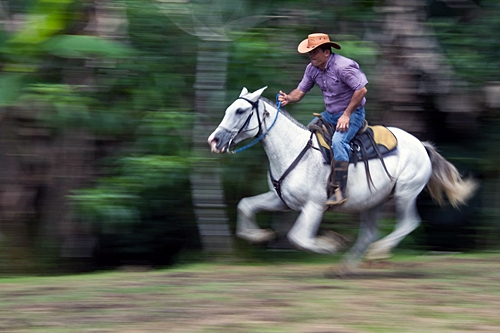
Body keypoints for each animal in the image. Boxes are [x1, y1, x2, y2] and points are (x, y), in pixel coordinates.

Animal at [206, 86, 476, 272]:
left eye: (240, 110)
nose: (214, 141)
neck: (294, 150)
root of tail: (421, 144)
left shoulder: (314, 206)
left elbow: (299, 238)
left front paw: (330, 244)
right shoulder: (281, 200)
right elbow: (246, 205)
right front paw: (260, 236)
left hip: (405, 193)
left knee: (408, 222)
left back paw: (377, 252)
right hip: (373, 201)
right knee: (369, 233)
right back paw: (346, 266)